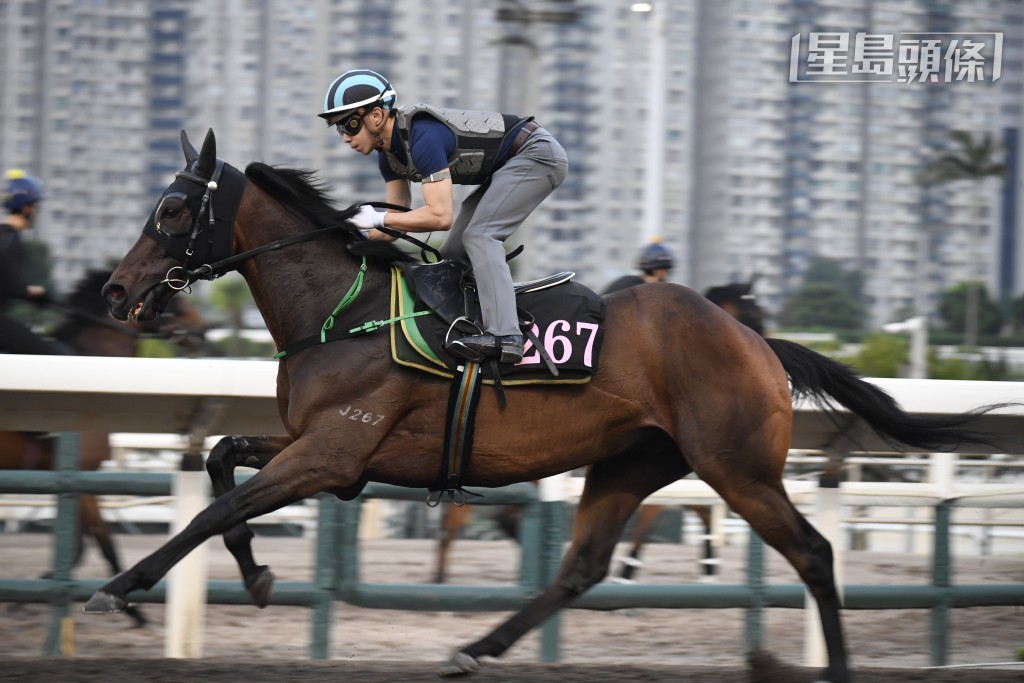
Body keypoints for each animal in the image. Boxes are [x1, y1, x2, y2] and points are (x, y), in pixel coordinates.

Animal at [0, 268, 205, 627]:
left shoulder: (81, 479)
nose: (202, 328)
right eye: (174, 290)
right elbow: (93, 544)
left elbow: (93, 542)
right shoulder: (79, 475)